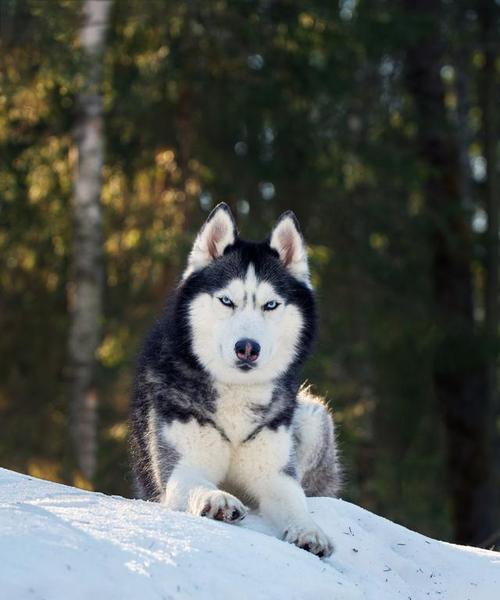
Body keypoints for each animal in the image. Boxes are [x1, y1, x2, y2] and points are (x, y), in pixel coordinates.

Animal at [130, 203, 340, 556]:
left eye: (270, 305)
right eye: (227, 300)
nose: (247, 348)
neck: (236, 394)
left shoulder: (275, 474)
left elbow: (295, 502)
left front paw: (309, 530)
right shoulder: (180, 469)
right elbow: (197, 484)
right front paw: (218, 499)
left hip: (314, 417)